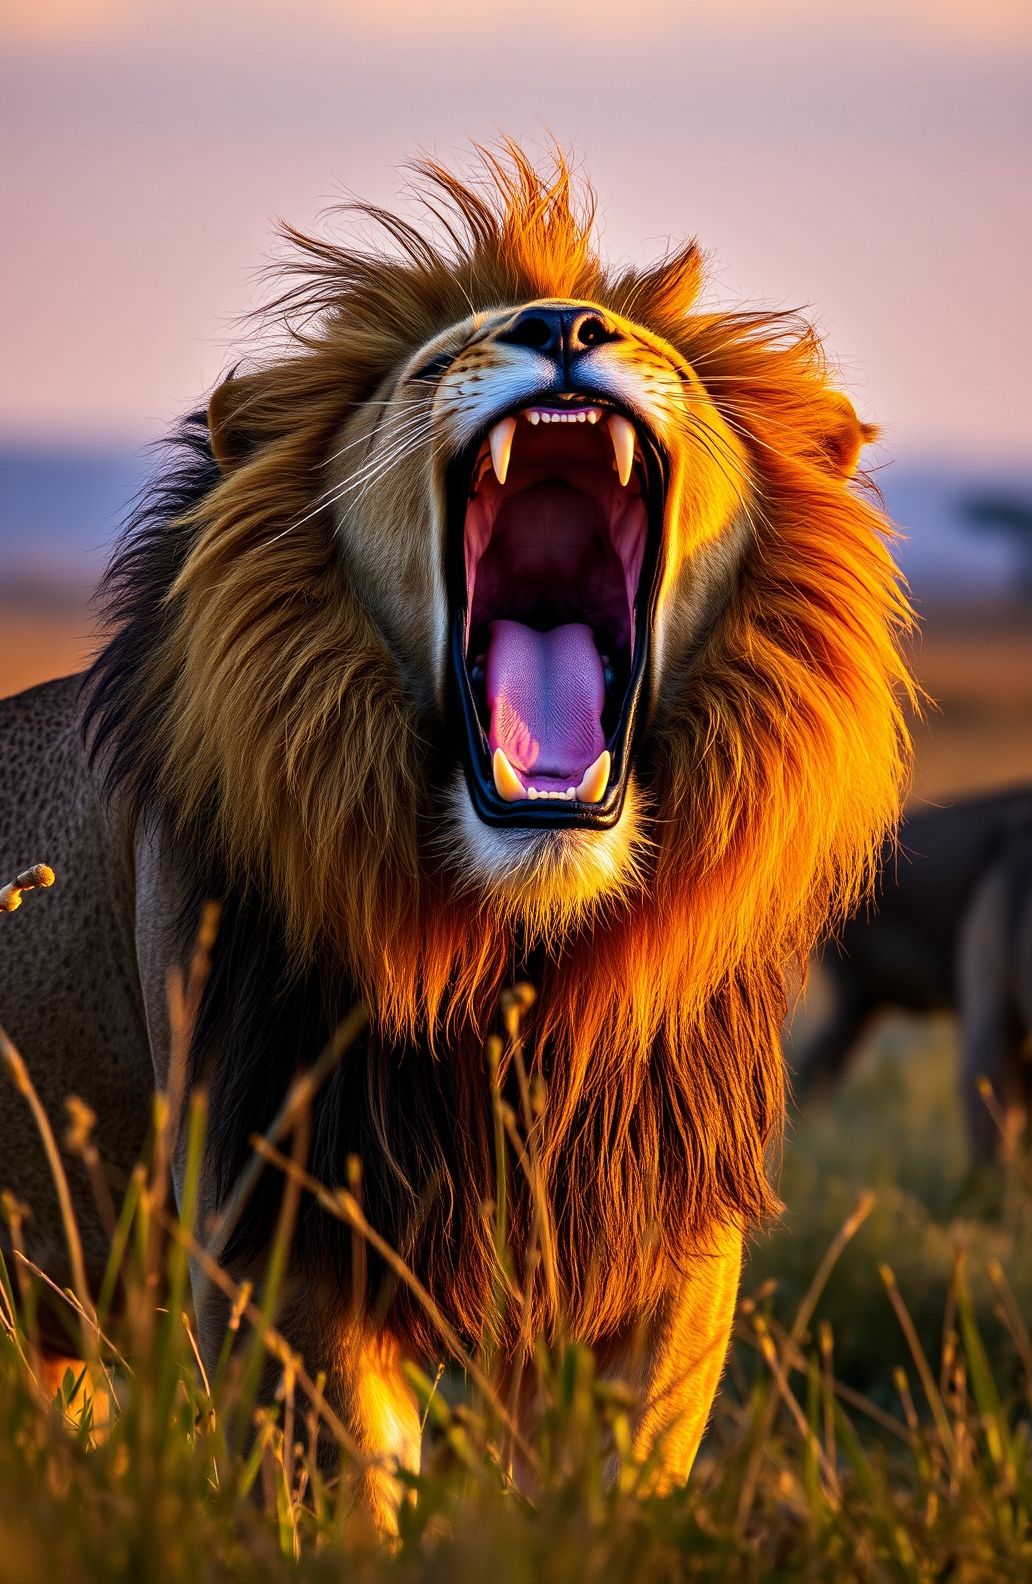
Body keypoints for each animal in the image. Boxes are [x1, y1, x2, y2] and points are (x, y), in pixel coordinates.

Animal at [0, 145, 913, 1525]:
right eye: (438, 362)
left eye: (661, 354)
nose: (564, 328)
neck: (518, 959)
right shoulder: (278, 1218)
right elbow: (342, 1484)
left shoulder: (663, 1232)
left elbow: (617, 1467)